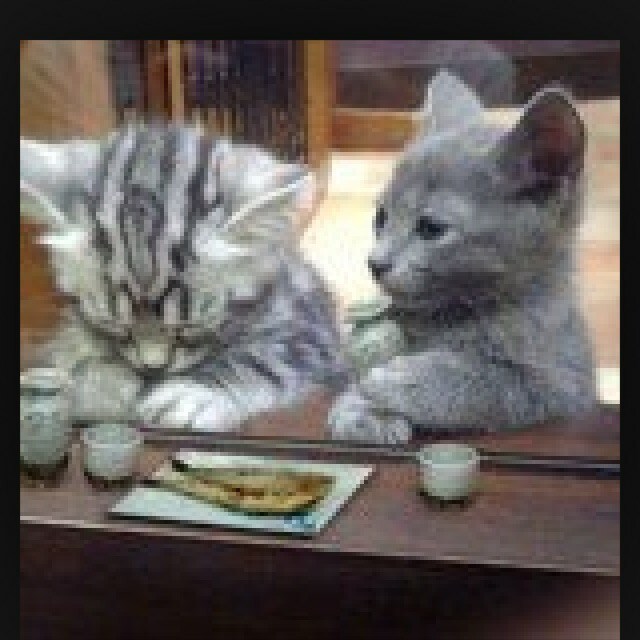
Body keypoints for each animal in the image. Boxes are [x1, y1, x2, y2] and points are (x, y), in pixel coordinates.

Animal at [21, 123, 347, 430]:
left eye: (191, 327)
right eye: (114, 324)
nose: (153, 369)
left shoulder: (309, 332)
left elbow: (262, 359)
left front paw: (194, 393)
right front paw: (96, 383)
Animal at [328, 71, 596, 444]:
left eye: (431, 228)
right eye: (381, 217)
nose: (375, 263)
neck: (451, 314)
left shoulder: (559, 384)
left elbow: (487, 382)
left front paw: (397, 380)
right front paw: (358, 409)